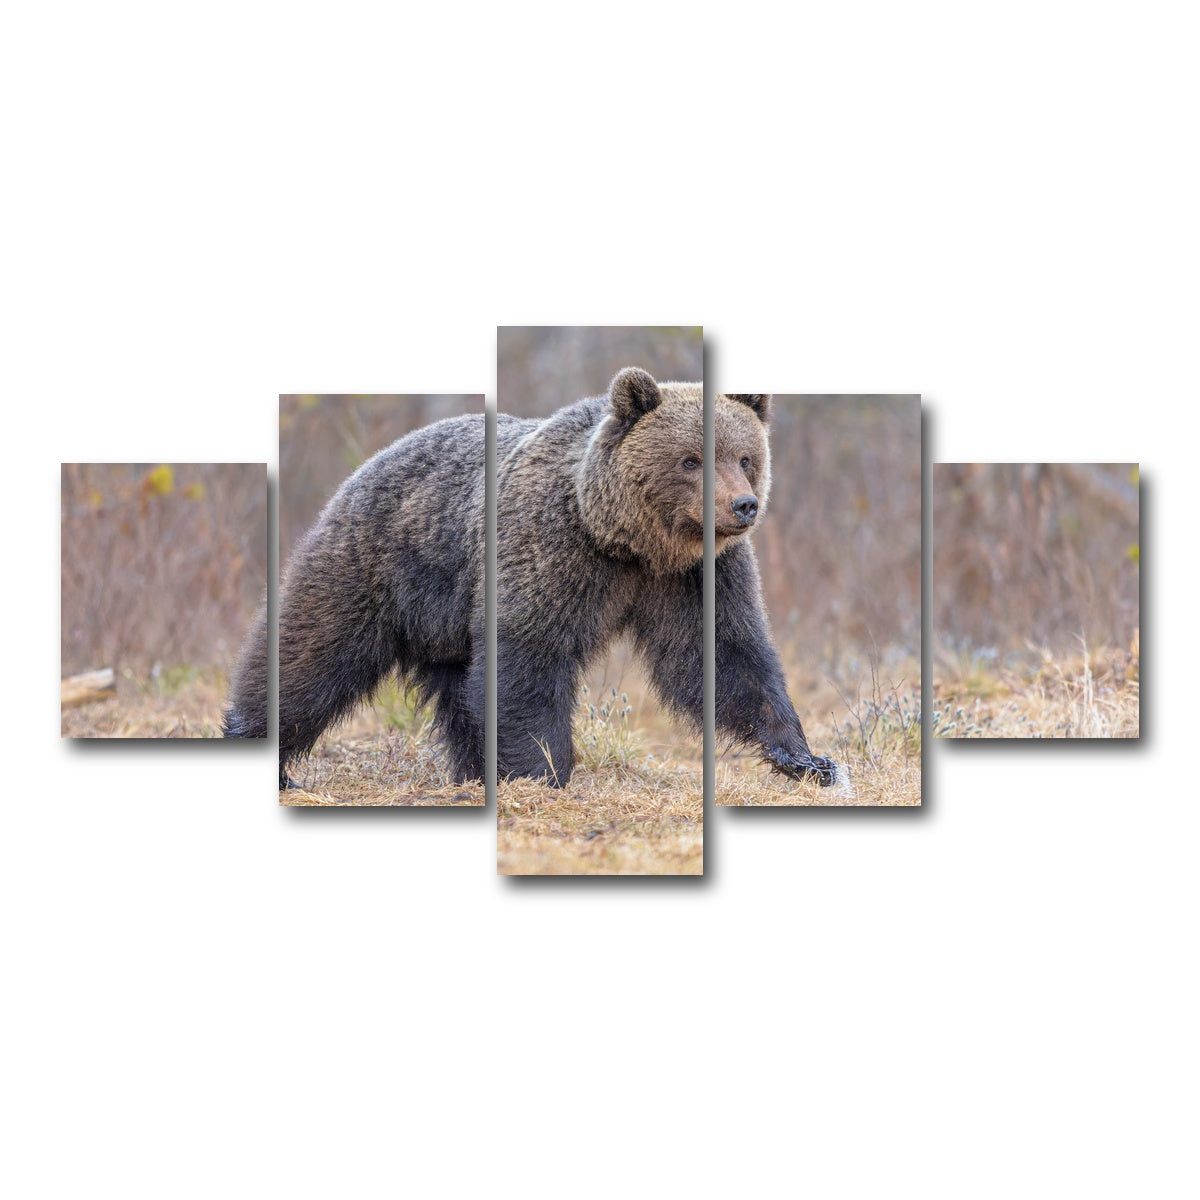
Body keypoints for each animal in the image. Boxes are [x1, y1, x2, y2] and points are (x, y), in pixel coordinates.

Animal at [223, 368, 836, 792]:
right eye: (691, 459)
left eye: (745, 456)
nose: (743, 505)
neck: (627, 541)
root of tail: (372, 459)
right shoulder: (551, 549)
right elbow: (529, 656)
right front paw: (545, 771)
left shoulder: (697, 575)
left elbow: (727, 655)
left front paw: (808, 758)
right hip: (379, 562)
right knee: (313, 652)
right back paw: (259, 743)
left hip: (446, 618)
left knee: (458, 689)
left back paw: (474, 769)